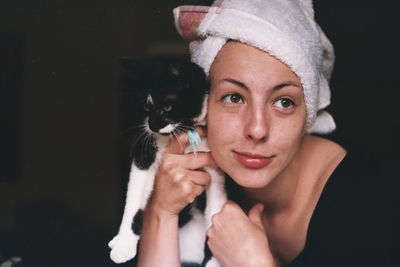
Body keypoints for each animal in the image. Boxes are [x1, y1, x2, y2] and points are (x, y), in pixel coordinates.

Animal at [108, 57, 228, 266]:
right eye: (146, 107)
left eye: (167, 107)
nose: (152, 126)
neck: (185, 128)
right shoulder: (146, 150)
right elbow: (135, 194)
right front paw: (124, 243)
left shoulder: (216, 169)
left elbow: (216, 210)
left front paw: (214, 260)